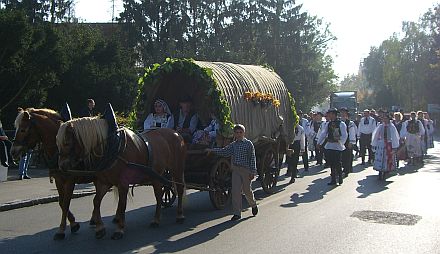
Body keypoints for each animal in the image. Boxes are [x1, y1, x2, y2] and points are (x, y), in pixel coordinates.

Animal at [55, 117, 186, 240]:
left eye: (66, 143)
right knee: (159, 195)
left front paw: (119, 229)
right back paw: (156, 220)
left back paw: (179, 215)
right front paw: (100, 228)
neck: (113, 147)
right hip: (156, 176)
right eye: (57, 143)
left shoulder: (123, 183)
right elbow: (96, 201)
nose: (61, 167)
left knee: (179, 189)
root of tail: (176, 133)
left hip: (177, 169)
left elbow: (122, 204)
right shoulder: (104, 182)